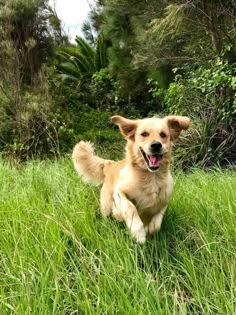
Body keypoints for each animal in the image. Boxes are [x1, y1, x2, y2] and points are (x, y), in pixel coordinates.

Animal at [72, 115, 190, 243]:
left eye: (163, 134)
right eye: (144, 134)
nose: (156, 145)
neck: (151, 177)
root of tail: (110, 163)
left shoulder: (164, 201)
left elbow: (157, 223)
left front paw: (148, 230)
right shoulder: (119, 193)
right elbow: (130, 208)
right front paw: (138, 233)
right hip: (106, 206)